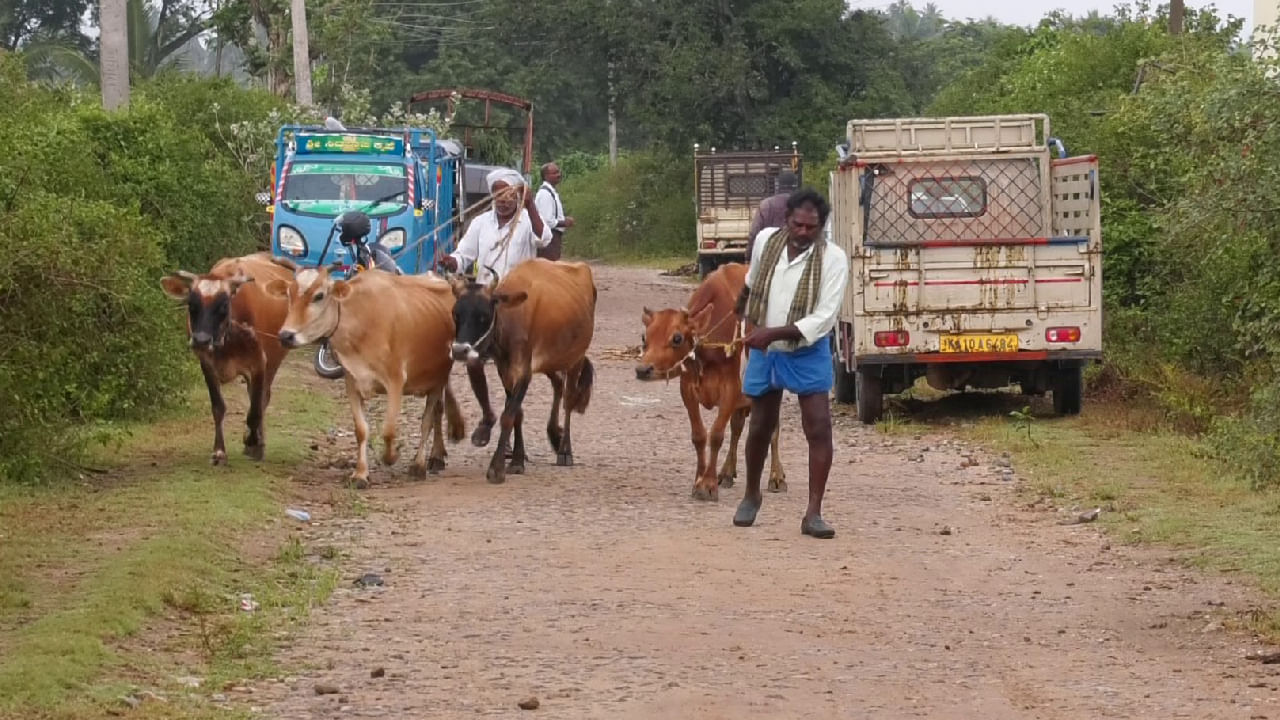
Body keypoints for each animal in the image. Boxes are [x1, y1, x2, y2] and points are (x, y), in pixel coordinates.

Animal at [160, 252, 294, 466]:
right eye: (191, 304)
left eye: (223, 305)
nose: (201, 340)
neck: (227, 337)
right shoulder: (207, 364)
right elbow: (218, 407)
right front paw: (219, 452)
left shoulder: (259, 363)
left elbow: (255, 410)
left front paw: (252, 440)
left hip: (274, 359)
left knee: (262, 398)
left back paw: (257, 443)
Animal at [267, 260, 468, 484]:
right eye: (289, 295)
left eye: (319, 296)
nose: (286, 335)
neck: (360, 323)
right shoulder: (352, 382)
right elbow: (361, 430)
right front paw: (360, 474)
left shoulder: (396, 380)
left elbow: (389, 430)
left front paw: (392, 456)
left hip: (438, 379)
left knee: (429, 419)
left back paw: (421, 464)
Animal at [450, 257, 599, 481]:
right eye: (455, 314)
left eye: (484, 315)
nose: (459, 351)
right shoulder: (506, 370)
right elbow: (517, 413)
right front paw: (517, 460)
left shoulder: (523, 371)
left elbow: (508, 415)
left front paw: (497, 468)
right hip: (550, 361)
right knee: (558, 384)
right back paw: (554, 433)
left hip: (576, 358)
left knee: (569, 399)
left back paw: (565, 450)